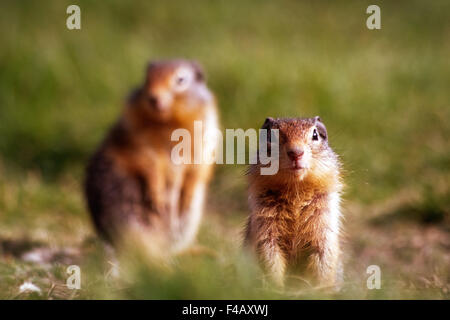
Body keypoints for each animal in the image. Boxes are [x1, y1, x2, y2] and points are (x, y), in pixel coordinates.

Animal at [85, 59, 219, 255]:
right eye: (146, 79)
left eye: (181, 79)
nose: (154, 98)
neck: (168, 122)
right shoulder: (135, 136)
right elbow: (148, 162)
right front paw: (157, 198)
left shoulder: (206, 134)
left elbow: (199, 165)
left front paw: (187, 196)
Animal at [244, 117, 342, 288]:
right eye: (271, 136)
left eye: (315, 134)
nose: (296, 153)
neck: (296, 191)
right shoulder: (265, 228)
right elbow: (270, 257)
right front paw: (275, 288)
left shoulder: (324, 225)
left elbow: (323, 259)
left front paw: (316, 289)